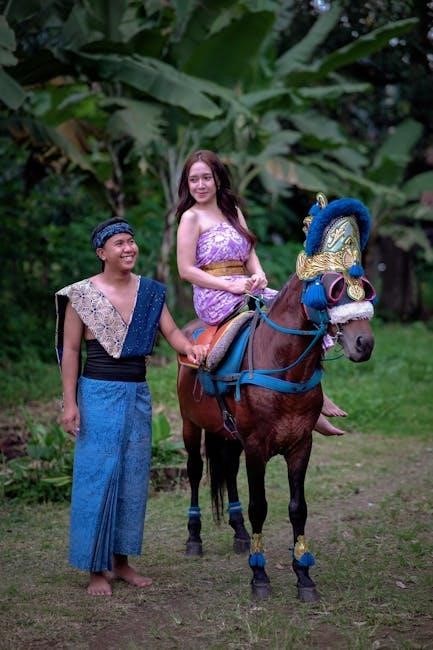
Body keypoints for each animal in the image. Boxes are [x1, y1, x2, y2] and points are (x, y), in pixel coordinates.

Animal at [177, 196, 375, 601]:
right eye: (334, 289)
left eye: (365, 287)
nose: (364, 343)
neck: (283, 367)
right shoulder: (256, 445)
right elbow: (260, 506)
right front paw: (260, 576)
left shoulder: (300, 444)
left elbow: (298, 508)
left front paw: (304, 575)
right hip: (190, 424)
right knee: (195, 470)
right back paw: (194, 537)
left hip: (227, 433)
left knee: (227, 469)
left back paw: (238, 532)